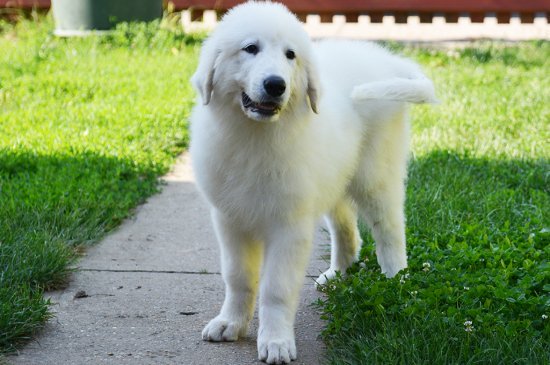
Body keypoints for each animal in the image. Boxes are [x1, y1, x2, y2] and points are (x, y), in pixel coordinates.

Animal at [192, 1, 438, 362]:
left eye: (290, 55)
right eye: (250, 48)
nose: (276, 85)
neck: (255, 136)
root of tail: (389, 60)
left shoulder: (289, 225)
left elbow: (276, 288)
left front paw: (276, 342)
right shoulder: (229, 219)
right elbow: (238, 277)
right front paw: (231, 323)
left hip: (375, 176)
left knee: (390, 231)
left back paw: (396, 282)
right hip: (333, 176)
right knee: (347, 230)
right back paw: (338, 274)